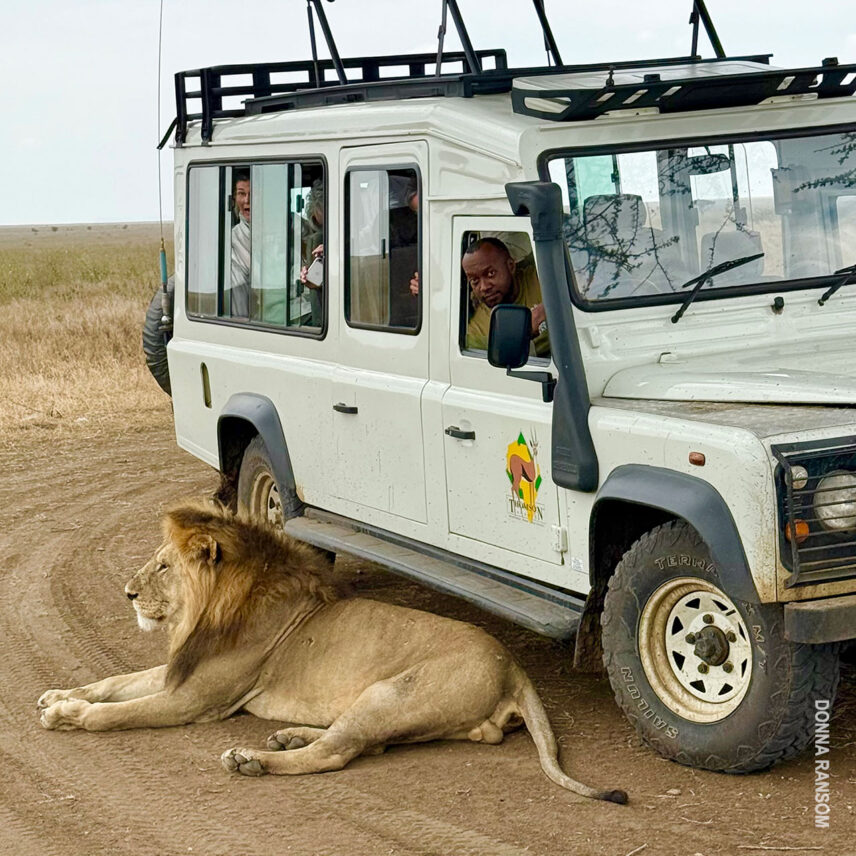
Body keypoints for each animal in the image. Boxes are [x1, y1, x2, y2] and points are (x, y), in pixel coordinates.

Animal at [37, 502, 627, 804]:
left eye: (163, 567)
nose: (127, 594)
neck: (213, 609)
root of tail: (513, 667)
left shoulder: (196, 699)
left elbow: (118, 712)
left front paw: (69, 715)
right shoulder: (181, 674)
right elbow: (115, 682)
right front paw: (57, 695)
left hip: (389, 694)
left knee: (336, 753)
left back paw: (251, 760)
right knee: (359, 744)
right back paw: (285, 735)